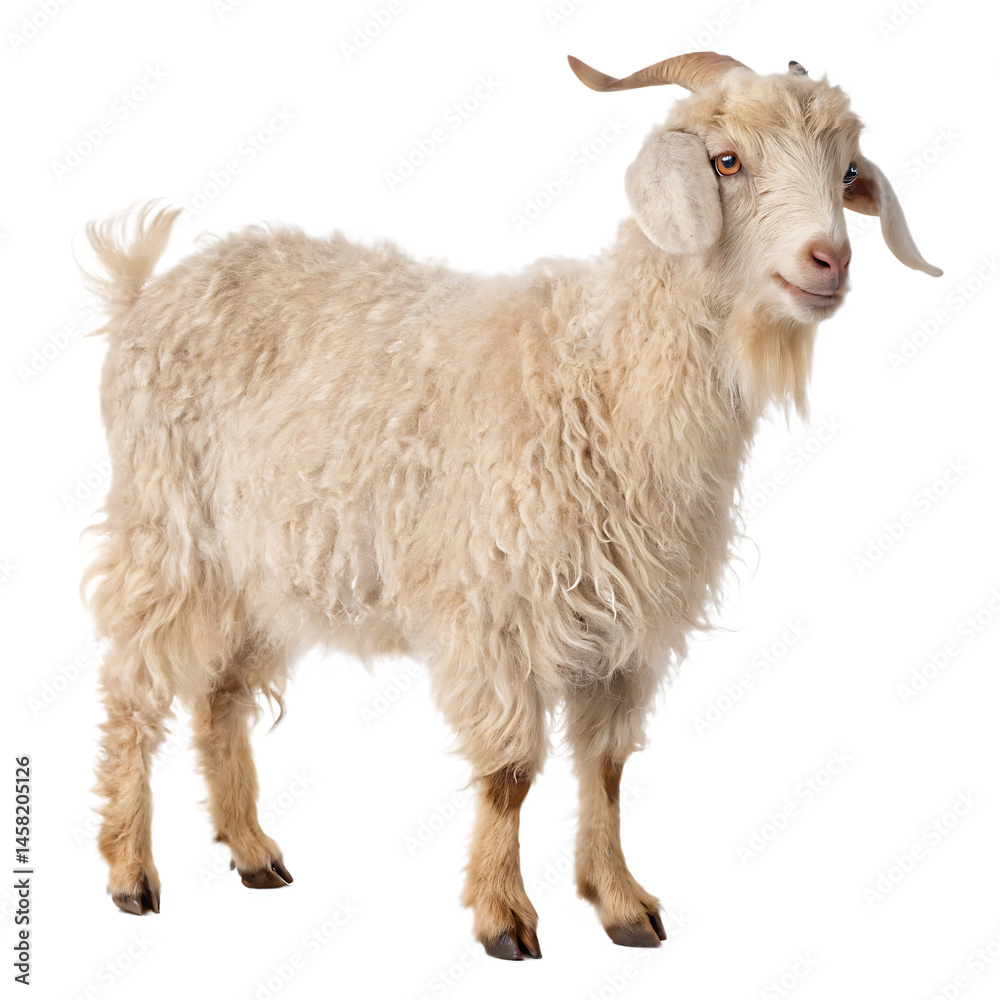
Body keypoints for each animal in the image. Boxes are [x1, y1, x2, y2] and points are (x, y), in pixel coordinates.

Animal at [83, 51, 940, 959]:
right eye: (727, 160)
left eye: (846, 171)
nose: (828, 260)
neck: (600, 376)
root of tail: (146, 294)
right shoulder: (495, 609)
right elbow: (510, 773)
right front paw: (503, 915)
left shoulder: (624, 633)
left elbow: (607, 768)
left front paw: (620, 901)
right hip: (166, 530)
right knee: (133, 689)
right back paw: (130, 872)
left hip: (264, 567)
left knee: (220, 694)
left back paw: (251, 852)